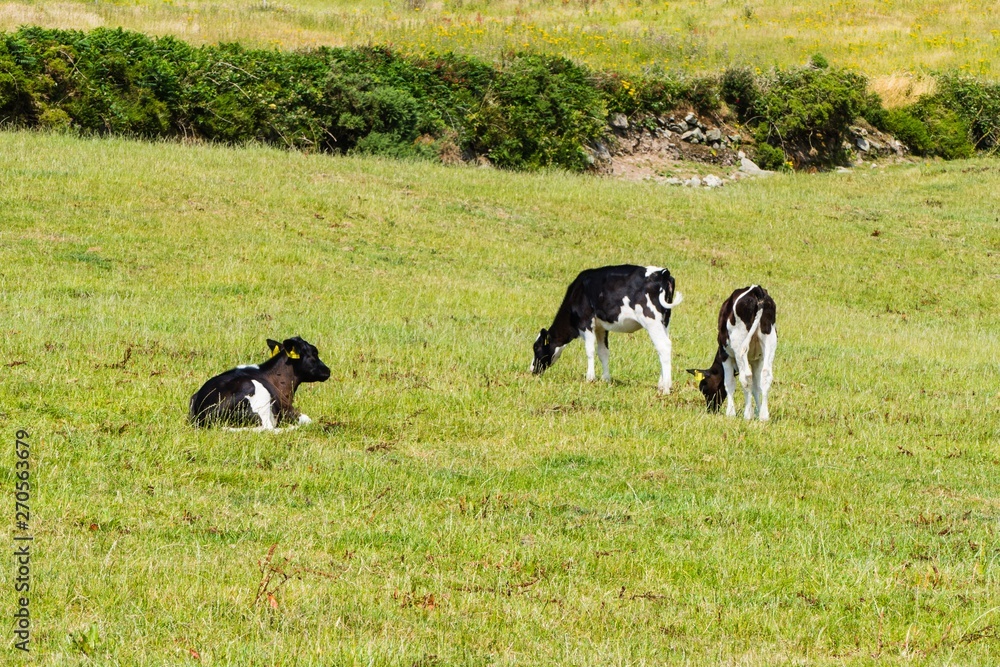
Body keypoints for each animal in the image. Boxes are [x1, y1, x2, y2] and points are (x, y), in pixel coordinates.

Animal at [531, 265, 683, 393]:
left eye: (536, 348)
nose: (532, 370)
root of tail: (663, 272)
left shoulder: (586, 322)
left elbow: (590, 351)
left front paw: (590, 378)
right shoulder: (601, 327)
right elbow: (603, 352)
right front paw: (606, 379)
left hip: (651, 320)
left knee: (664, 346)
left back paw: (665, 389)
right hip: (664, 321)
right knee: (662, 348)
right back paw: (661, 384)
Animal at [687, 285, 776, 420]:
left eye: (704, 388)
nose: (710, 410)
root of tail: (756, 289)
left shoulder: (725, 355)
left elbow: (729, 383)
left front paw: (731, 413)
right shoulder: (756, 360)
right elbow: (756, 386)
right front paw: (758, 412)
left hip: (740, 345)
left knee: (746, 377)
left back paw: (747, 415)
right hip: (769, 340)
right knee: (766, 375)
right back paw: (764, 416)